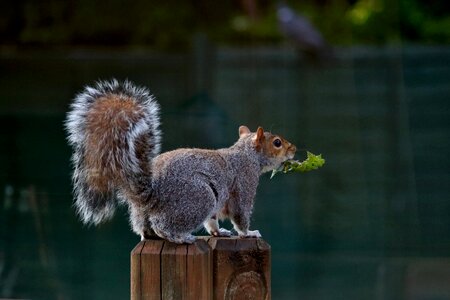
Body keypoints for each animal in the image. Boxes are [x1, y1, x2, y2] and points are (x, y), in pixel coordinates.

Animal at [65, 79, 298, 244]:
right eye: (277, 143)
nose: (294, 149)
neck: (247, 155)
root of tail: (151, 194)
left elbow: (212, 220)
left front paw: (219, 232)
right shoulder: (243, 183)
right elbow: (240, 214)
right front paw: (249, 233)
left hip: (149, 213)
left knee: (146, 231)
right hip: (199, 197)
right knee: (163, 227)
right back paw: (182, 237)